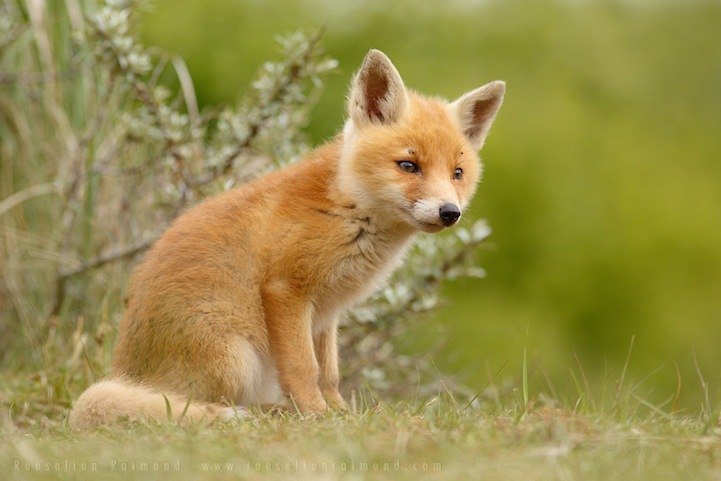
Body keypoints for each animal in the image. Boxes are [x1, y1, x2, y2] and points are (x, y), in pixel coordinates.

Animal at [70, 48, 504, 428]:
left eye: (458, 173)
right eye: (408, 166)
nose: (450, 212)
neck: (346, 209)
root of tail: (124, 371)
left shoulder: (326, 312)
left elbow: (330, 373)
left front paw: (340, 415)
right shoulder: (286, 290)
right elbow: (303, 369)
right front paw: (315, 416)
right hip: (236, 358)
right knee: (195, 404)